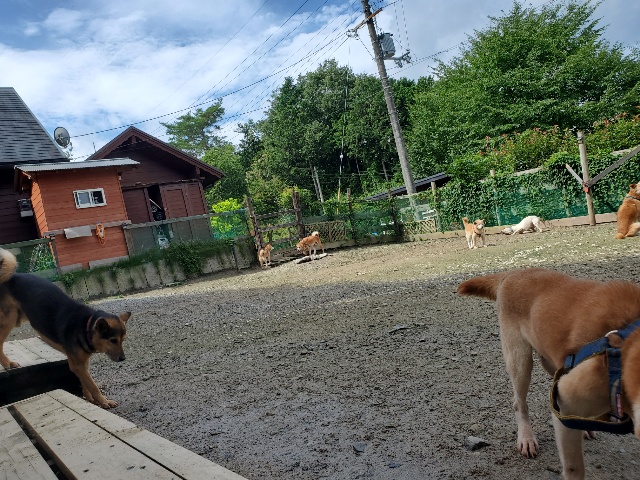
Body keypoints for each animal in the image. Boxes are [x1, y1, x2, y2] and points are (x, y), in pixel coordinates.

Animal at [0, 248, 131, 409]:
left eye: (123, 340)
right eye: (113, 340)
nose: (123, 358)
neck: (84, 326)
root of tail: (11, 276)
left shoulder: (81, 363)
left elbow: (85, 383)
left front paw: (89, 399)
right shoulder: (77, 365)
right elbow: (93, 385)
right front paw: (104, 401)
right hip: (9, 319)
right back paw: (7, 363)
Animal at [458, 268, 640, 479]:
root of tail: (513, 272)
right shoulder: (566, 400)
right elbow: (574, 467)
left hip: (553, 362)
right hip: (520, 359)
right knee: (519, 402)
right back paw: (526, 438)